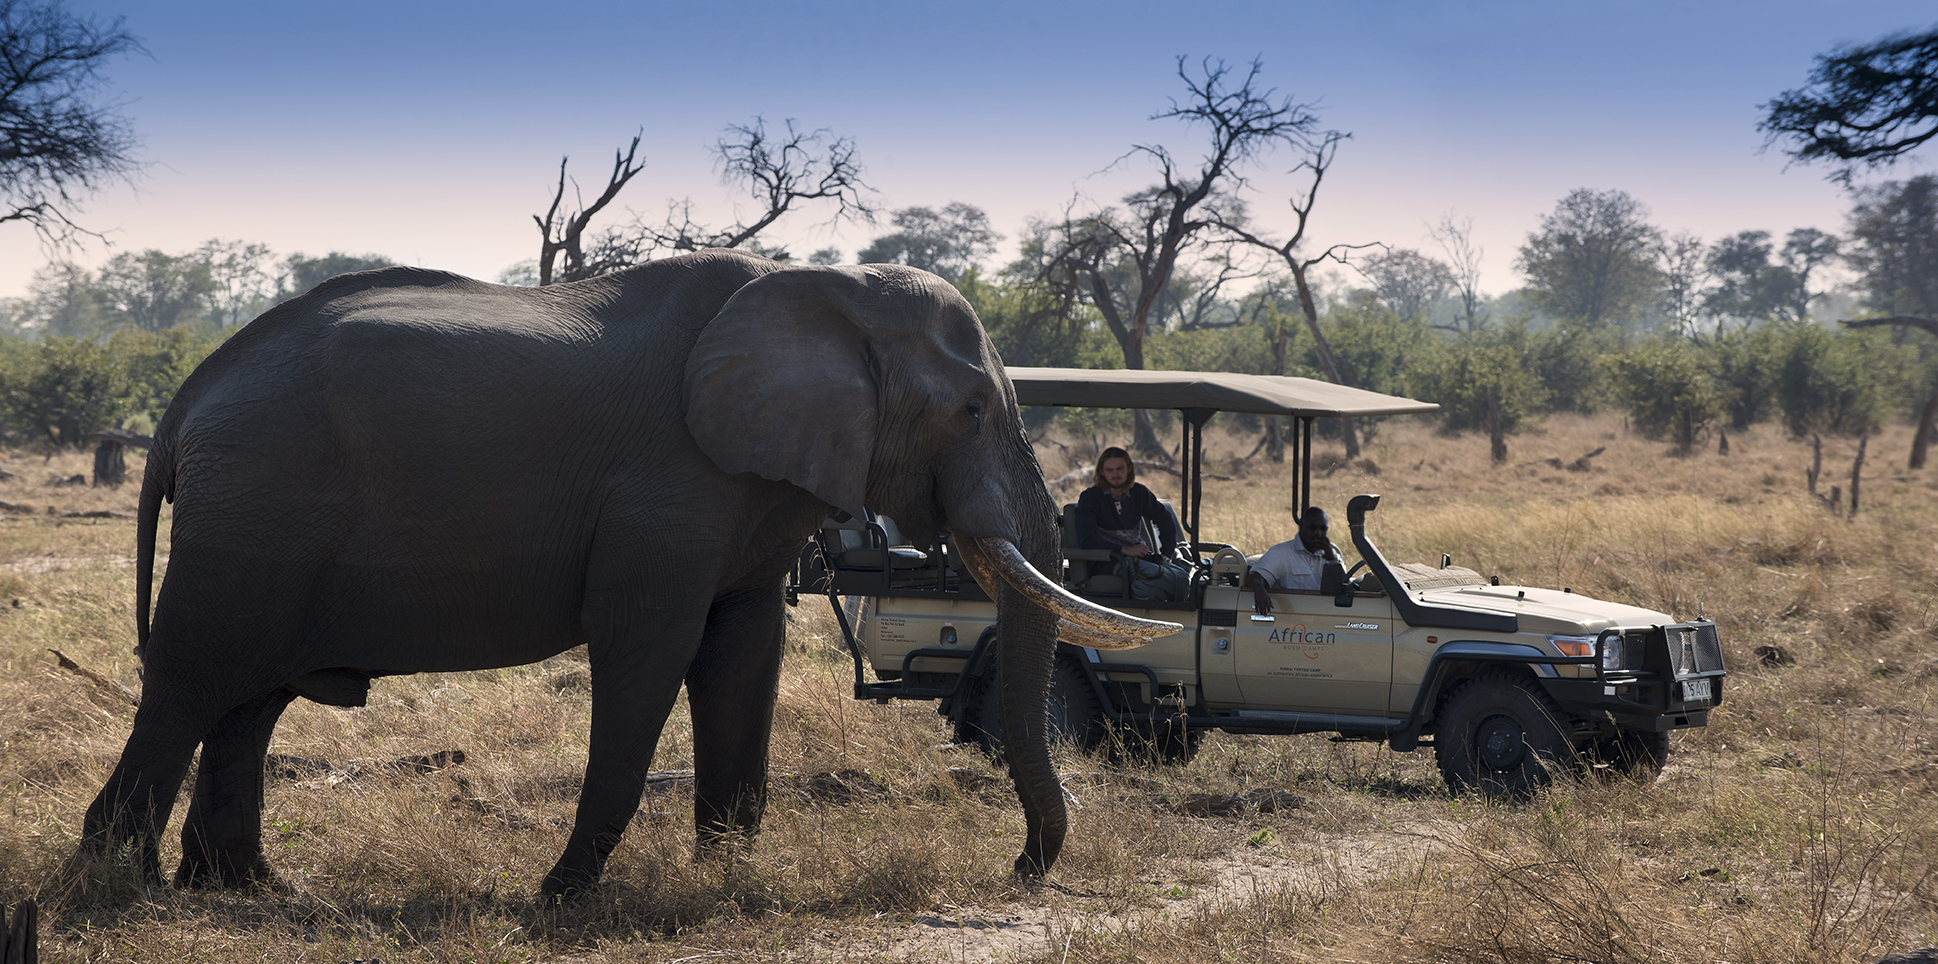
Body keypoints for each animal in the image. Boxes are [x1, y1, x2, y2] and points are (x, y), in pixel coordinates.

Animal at [76, 248, 1174, 900]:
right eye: (975, 411)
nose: (1020, 871)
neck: (821, 282)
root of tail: (186, 399)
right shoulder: (668, 486)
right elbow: (650, 648)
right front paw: (562, 896)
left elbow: (745, 653)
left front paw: (722, 882)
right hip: (255, 514)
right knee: (192, 683)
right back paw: (113, 887)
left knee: (246, 700)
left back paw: (248, 891)